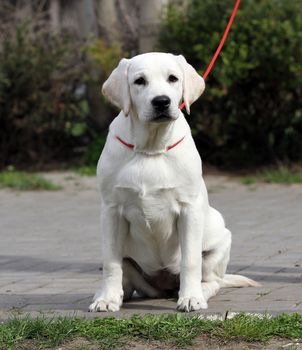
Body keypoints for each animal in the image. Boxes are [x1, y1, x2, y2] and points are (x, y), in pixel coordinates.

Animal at [88, 51, 258, 312]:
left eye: (173, 78)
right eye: (139, 81)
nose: (161, 102)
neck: (151, 148)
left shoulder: (189, 209)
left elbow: (190, 260)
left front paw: (190, 298)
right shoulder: (111, 210)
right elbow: (111, 263)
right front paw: (107, 299)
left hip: (220, 238)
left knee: (212, 280)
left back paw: (198, 292)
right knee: (126, 276)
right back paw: (113, 294)